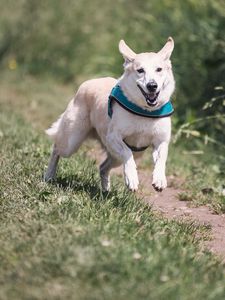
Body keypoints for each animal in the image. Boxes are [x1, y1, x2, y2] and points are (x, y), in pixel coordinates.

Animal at [43, 37, 174, 192]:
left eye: (159, 69)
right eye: (140, 70)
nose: (152, 86)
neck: (145, 111)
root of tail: (88, 82)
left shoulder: (161, 141)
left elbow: (161, 159)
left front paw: (159, 179)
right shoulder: (113, 137)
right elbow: (127, 153)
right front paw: (132, 179)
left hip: (124, 155)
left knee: (103, 167)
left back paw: (105, 190)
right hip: (71, 141)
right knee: (56, 149)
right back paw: (49, 176)